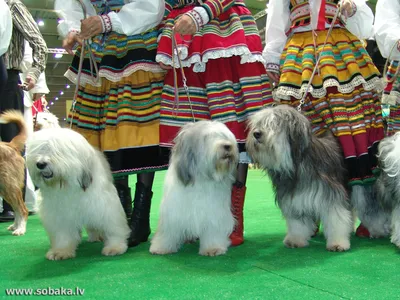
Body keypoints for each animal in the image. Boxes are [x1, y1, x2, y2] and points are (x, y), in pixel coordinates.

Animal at [26, 128, 130, 260]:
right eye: (39, 149)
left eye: (58, 150)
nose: (40, 164)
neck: (68, 186)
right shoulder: (59, 215)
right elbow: (62, 234)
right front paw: (61, 251)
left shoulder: (105, 207)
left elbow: (113, 228)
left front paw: (115, 247)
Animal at [149, 120, 238, 256]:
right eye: (206, 137)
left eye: (225, 135)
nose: (227, 146)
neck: (202, 178)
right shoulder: (173, 211)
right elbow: (168, 232)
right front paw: (161, 247)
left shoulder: (214, 212)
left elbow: (213, 229)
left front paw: (213, 248)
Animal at [245, 105, 352, 251]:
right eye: (259, 123)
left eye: (275, 123)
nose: (256, 133)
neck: (296, 165)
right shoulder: (293, 198)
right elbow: (297, 223)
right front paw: (296, 240)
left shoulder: (331, 196)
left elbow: (336, 220)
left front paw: (338, 242)